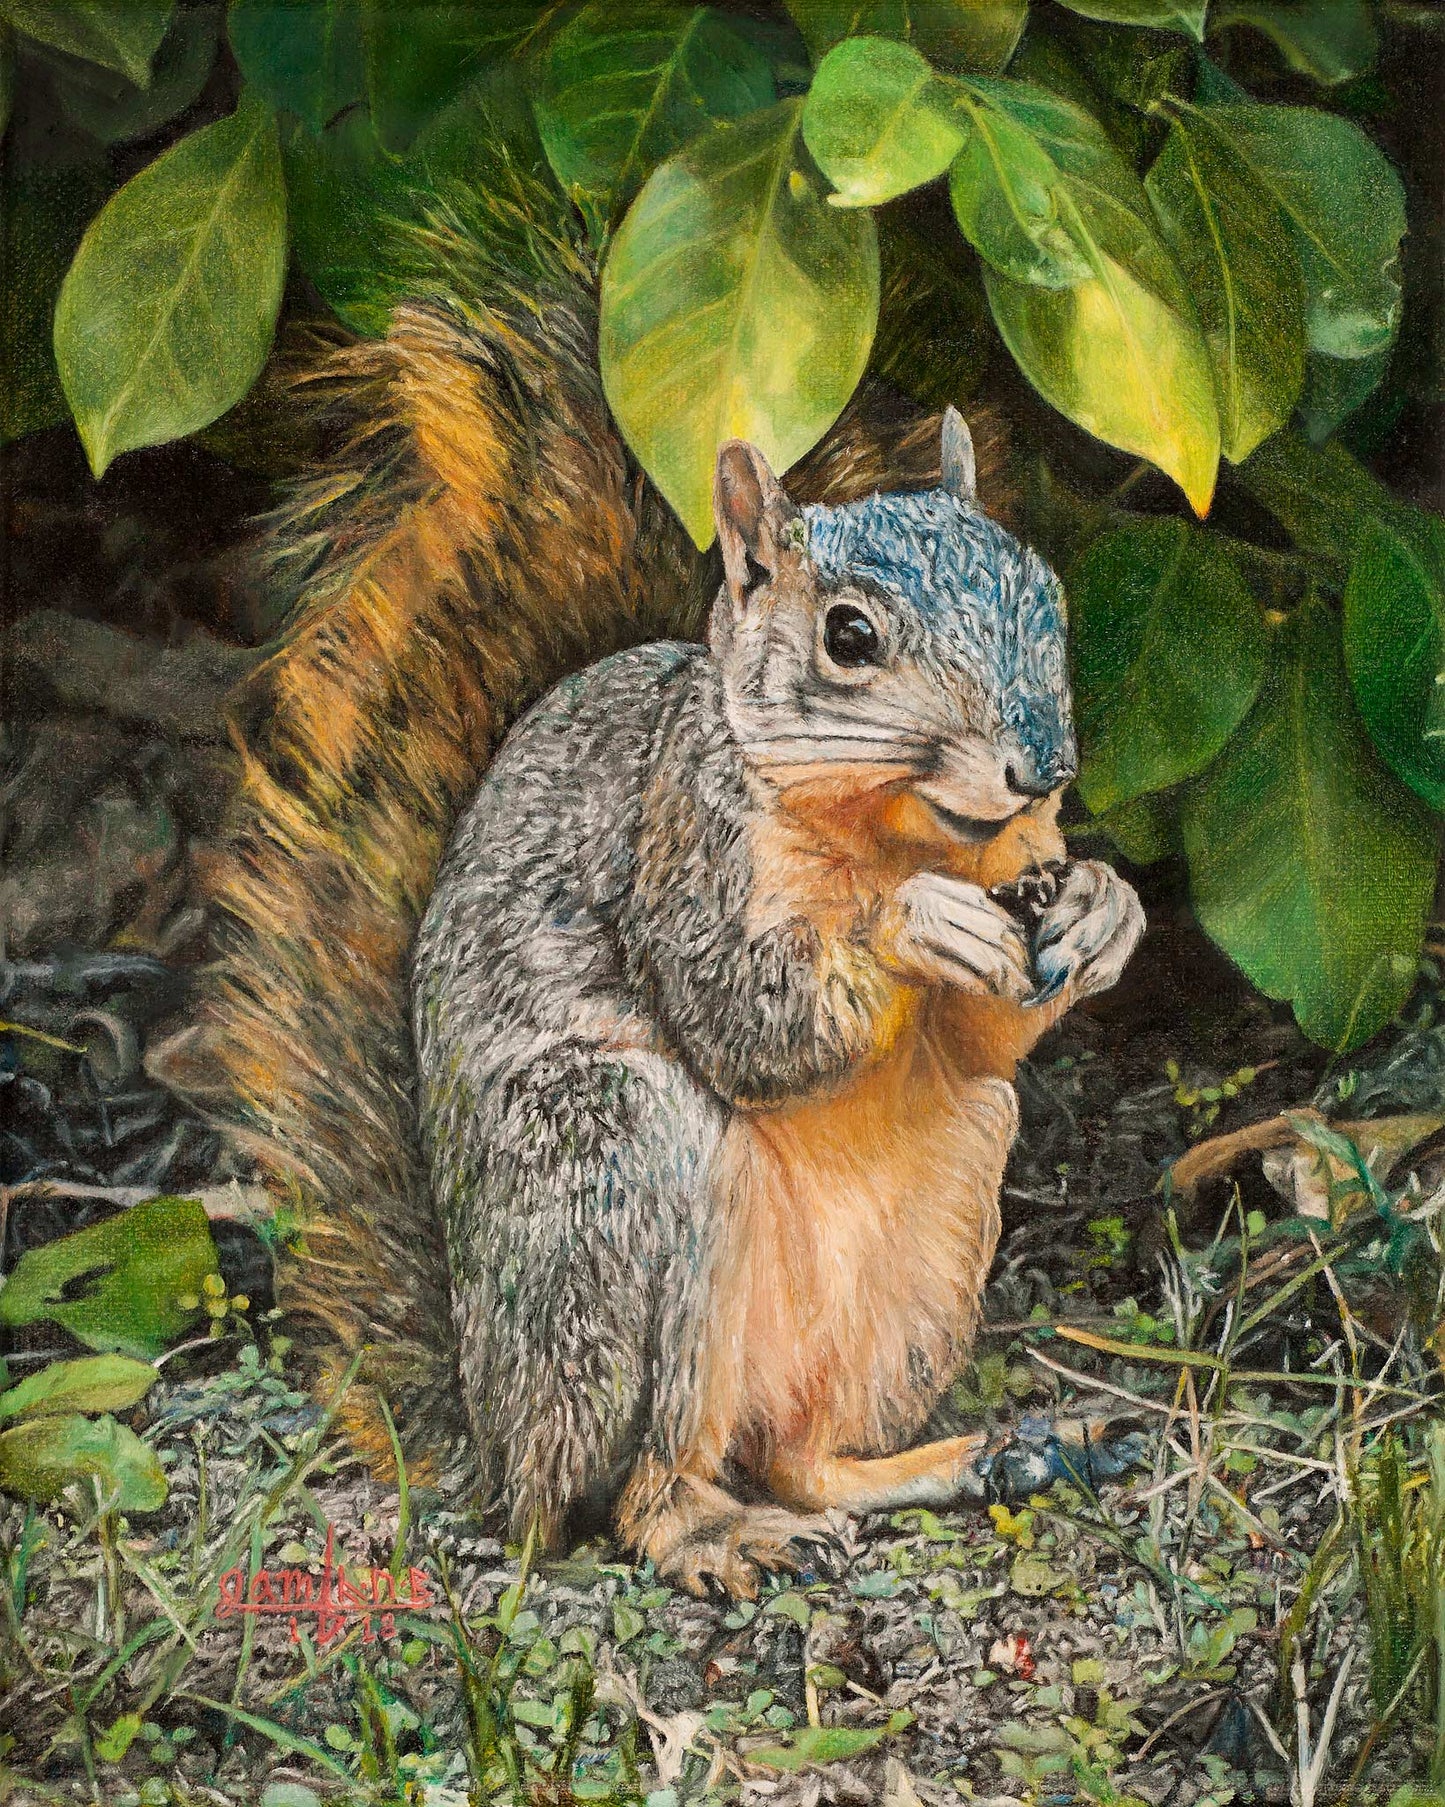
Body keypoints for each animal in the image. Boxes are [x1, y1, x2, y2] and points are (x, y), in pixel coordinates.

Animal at [193, 187, 1144, 1597]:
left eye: (1048, 594)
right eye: (848, 637)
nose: (1045, 765)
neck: (891, 828)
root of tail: (493, 1438)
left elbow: (989, 1032)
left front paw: (1102, 907)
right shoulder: (675, 848)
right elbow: (740, 1013)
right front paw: (911, 928)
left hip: (940, 1210)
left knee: (798, 1455)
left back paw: (984, 1455)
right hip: (614, 1174)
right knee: (635, 1491)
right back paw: (711, 1529)